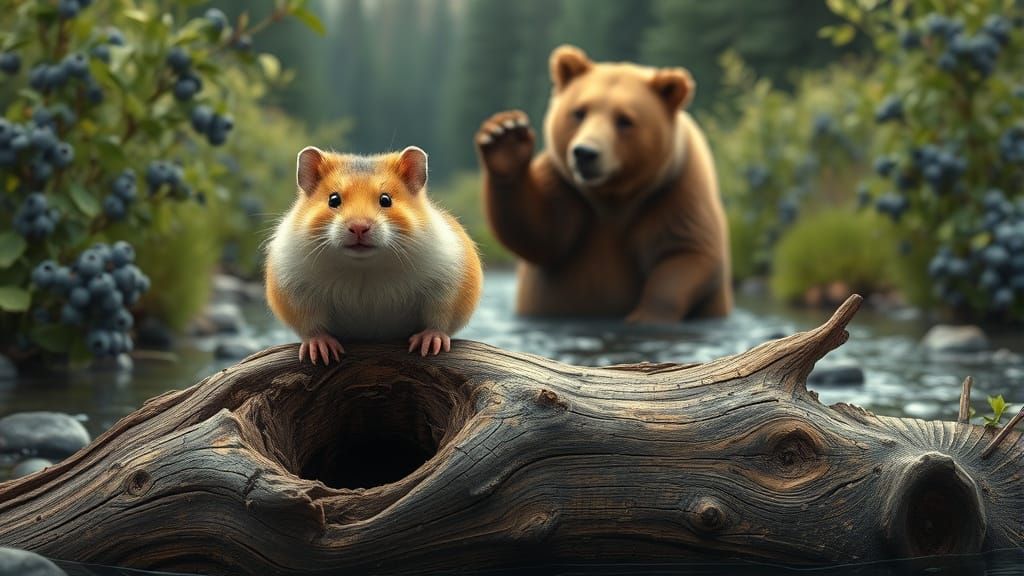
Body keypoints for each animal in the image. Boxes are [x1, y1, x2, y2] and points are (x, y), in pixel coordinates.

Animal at [264, 145, 483, 363]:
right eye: (333, 199)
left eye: (386, 200)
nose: (359, 227)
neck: (365, 266)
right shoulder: (296, 291)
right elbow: (311, 325)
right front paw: (319, 347)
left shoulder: (446, 285)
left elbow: (439, 318)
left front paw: (428, 342)